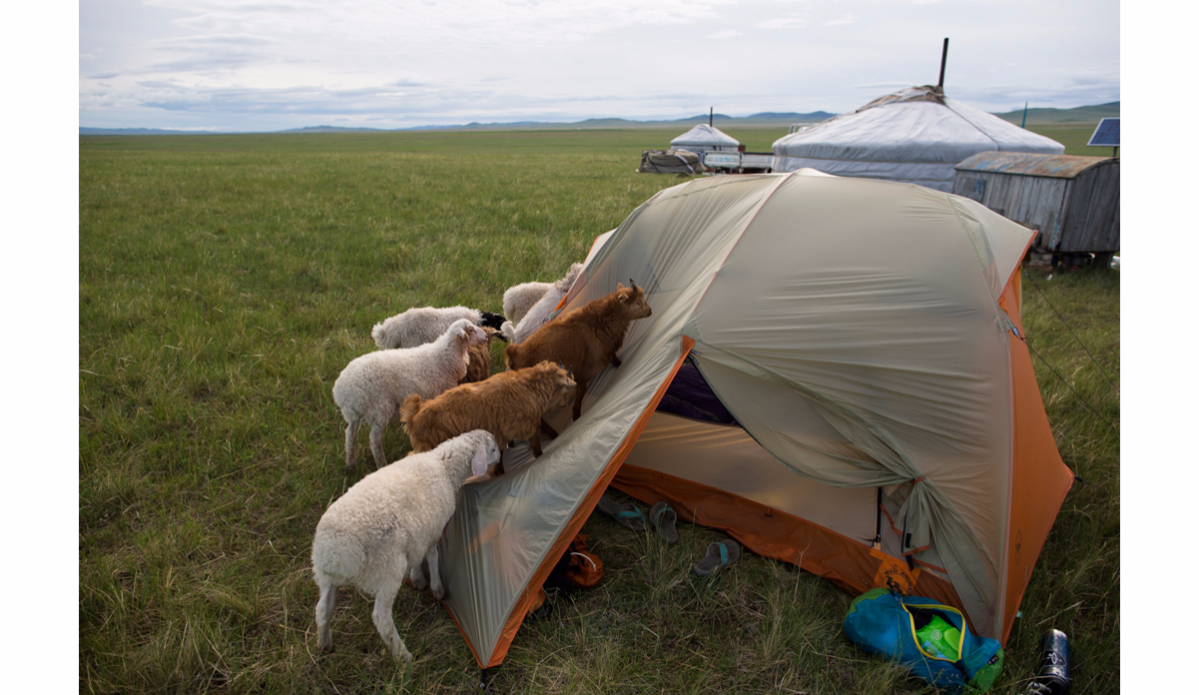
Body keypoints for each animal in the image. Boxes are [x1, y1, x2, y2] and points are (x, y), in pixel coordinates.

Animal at [311, 426, 498, 661]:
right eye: (493, 448)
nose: (500, 457)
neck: (443, 467)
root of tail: (336, 554)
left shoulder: (418, 532)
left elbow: (417, 558)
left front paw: (417, 579)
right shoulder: (433, 529)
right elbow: (432, 557)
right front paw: (437, 589)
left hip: (325, 577)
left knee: (322, 609)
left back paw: (324, 644)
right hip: (386, 571)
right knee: (381, 619)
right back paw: (404, 657)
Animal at [333, 318, 486, 469]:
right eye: (470, 330)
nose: (485, 336)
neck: (445, 354)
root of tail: (342, 391)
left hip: (353, 415)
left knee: (350, 435)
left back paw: (350, 463)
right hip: (379, 409)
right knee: (374, 439)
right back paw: (381, 463)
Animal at [398, 361, 575, 457]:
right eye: (566, 388)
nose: (566, 403)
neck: (526, 387)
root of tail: (412, 418)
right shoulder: (520, 426)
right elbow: (536, 437)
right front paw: (539, 453)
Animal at [505, 282, 657, 424]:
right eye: (638, 302)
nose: (650, 311)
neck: (597, 320)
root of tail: (513, 354)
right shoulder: (585, 367)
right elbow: (581, 391)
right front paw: (576, 414)